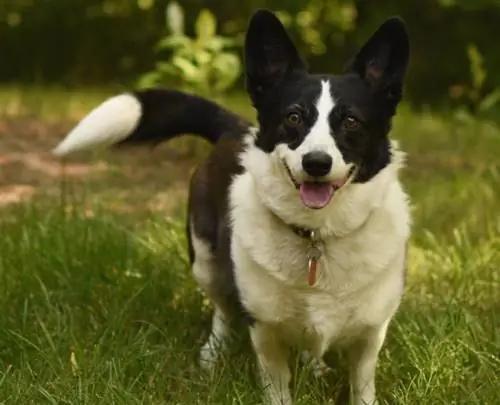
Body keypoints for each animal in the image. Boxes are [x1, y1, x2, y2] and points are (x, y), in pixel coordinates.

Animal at [52, 9, 410, 404]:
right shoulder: (265, 332)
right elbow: (277, 386)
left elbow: (362, 385)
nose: (316, 162)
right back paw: (213, 354)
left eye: (350, 121)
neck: (317, 235)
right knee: (221, 311)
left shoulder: (370, 337)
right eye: (294, 117)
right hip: (206, 262)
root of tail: (234, 128)